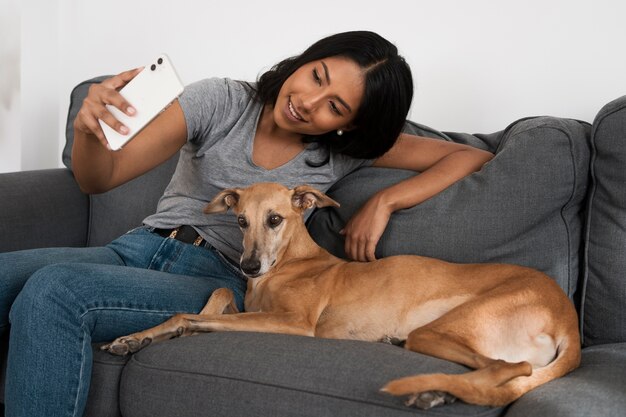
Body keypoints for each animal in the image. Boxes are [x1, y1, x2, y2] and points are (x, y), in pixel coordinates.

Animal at [100, 183, 576, 410]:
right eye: (240, 221)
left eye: (275, 219)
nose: (249, 267)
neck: (290, 262)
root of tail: (566, 316)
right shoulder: (248, 305)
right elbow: (216, 295)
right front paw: (139, 337)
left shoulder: (295, 323)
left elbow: (192, 313)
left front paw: (174, 330)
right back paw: (434, 391)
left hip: (440, 330)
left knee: (511, 369)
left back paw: (436, 391)